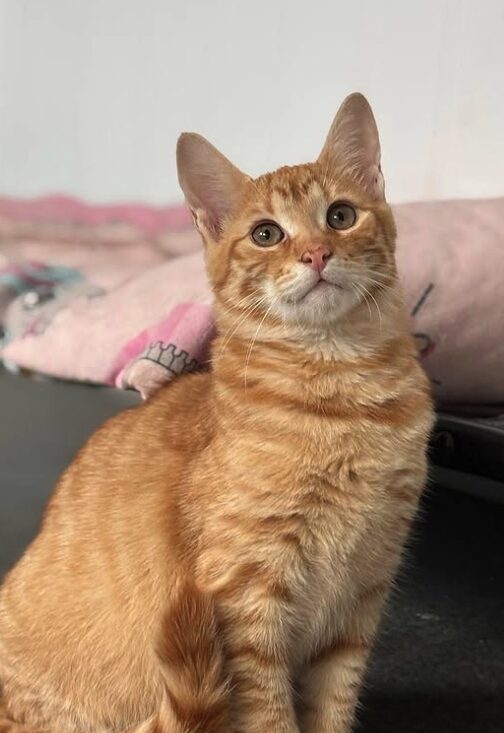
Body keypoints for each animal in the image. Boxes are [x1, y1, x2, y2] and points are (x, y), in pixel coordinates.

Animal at [0, 94, 434, 732]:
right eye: (266, 233)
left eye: (340, 216)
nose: (317, 253)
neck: (342, 396)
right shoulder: (246, 603)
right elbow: (271, 716)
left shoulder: (360, 597)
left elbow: (333, 705)